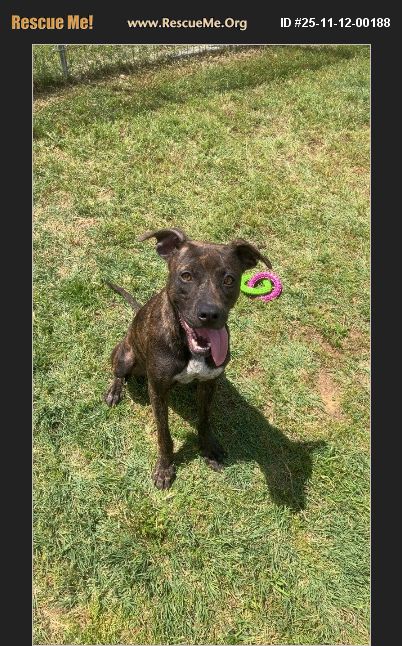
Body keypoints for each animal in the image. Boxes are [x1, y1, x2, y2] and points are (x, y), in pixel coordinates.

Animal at [104, 227, 272, 489]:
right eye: (186, 276)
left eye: (229, 279)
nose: (210, 314)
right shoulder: (157, 391)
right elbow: (164, 434)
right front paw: (165, 468)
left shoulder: (209, 383)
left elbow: (204, 419)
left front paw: (208, 449)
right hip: (125, 355)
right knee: (119, 373)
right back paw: (114, 390)